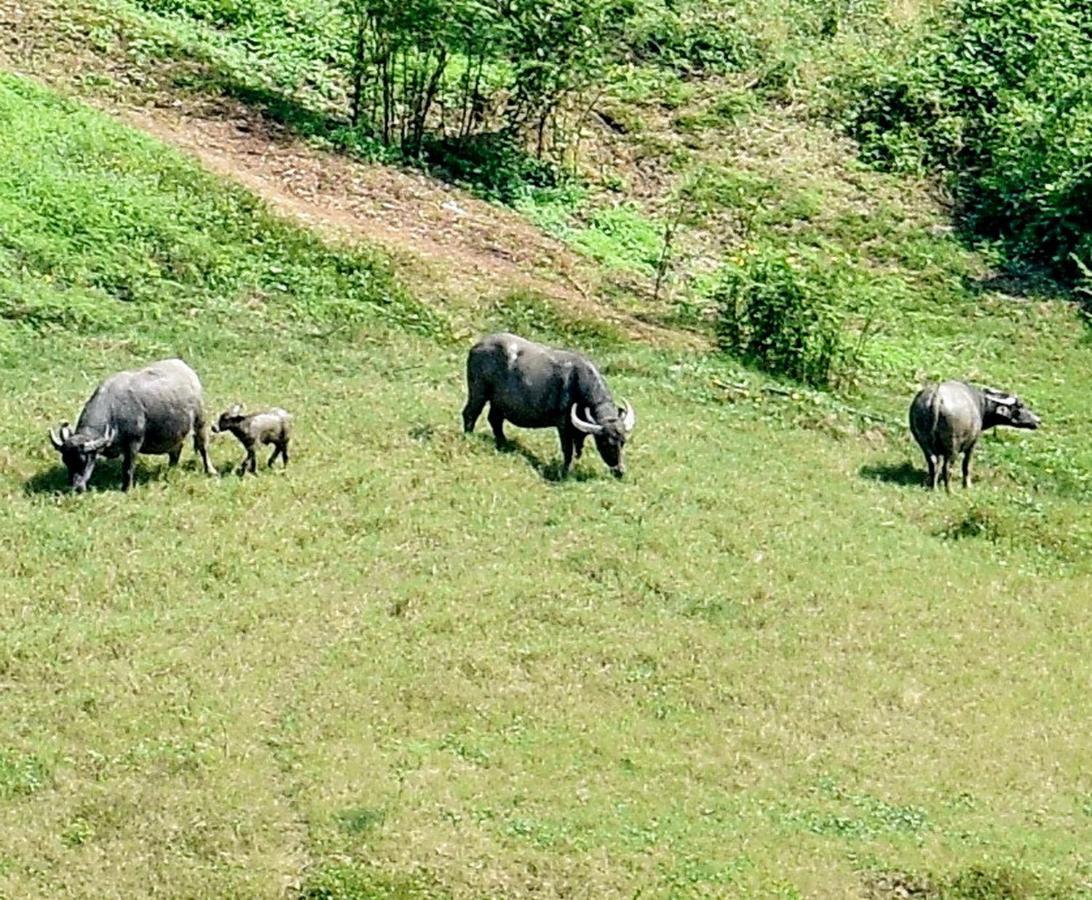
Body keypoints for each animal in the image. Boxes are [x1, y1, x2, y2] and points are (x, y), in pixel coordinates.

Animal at [49, 356, 217, 491]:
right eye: (66, 460)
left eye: (84, 461)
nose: (76, 487)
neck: (114, 412)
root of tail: (187, 370)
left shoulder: (133, 443)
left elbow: (128, 467)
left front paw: (126, 488)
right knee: (176, 450)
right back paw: (170, 470)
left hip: (200, 420)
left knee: (202, 446)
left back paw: (210, 470)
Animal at [458, 332, 633, 478]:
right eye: (605, 442)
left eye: (623, 442)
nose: (620, 471)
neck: (578, 384)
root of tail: (478, 346)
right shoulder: (563, 426)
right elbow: (568, 450)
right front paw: (564, 472)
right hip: (478, 391)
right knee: (470, 413)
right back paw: (469, 437)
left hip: (499, 403)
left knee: (494, 420)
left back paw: (503, 444)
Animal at [904, 380, 1039, 491]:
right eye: (1020, 405)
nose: (1038, 420)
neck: (980, 404)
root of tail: (936, 398)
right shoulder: (972, 444)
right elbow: (966, 465)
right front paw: (967, 485)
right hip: (953, 445)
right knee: (946, 467)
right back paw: (949, 490)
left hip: (923, 443)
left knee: (933, 463)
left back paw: (934, 487)